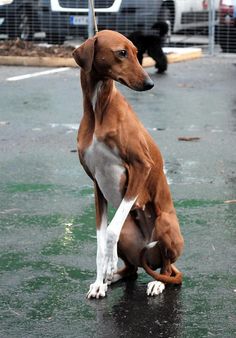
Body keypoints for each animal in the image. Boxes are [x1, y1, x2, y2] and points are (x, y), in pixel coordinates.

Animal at [73, 29, 183, 298]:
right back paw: (111, 278)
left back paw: (158, 282)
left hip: (165, 224)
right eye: (121, 53)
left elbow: (110, 231)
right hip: (129, 234)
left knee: (167, 268)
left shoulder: (141, 167)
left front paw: (110, 263)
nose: (150, 84)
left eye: (136, 51)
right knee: (132, 270)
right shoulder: (96, 184)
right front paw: (100, 279)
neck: (98, 110)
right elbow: (101, 239)